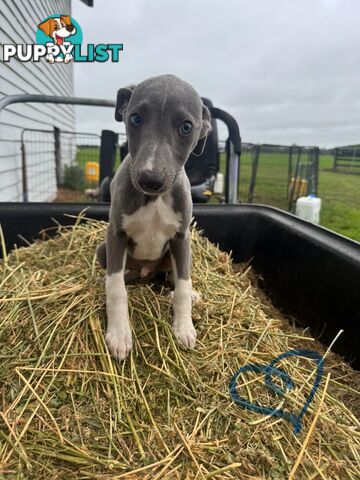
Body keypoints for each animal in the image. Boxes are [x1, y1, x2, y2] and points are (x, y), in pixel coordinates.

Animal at [97, 74, 212, 360]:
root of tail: (147, 272)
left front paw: (184, 327)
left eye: (186, 127)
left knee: (174, 278)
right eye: (135, 118)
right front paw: (119, 334)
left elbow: (182, 285)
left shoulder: (182, 238)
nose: (150, 180)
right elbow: (115, 288)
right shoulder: (116, 234)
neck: (154, 199)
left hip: (178, 254)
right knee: (120, 276)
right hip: (103, 249)